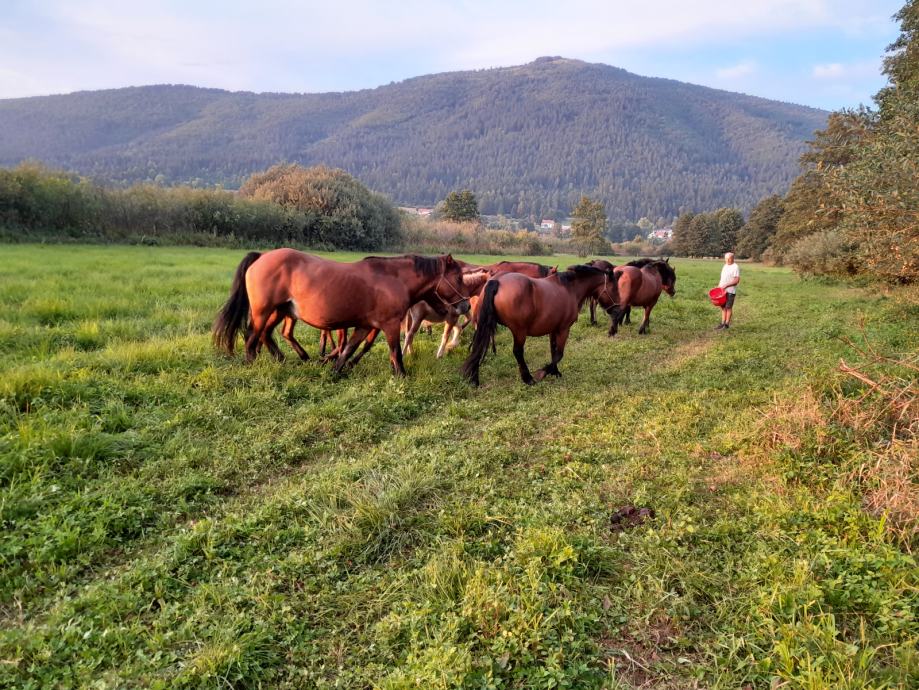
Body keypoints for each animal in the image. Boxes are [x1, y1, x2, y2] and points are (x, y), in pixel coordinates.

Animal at [214, 249, 468, 374]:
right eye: (458, 277)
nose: (465, 305)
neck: (393, 278)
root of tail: (262, 256)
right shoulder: (390, 325)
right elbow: (395, 352)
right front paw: (401, 376)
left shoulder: (366, 325)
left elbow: (348, 349)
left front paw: (335, 371)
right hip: (263, 311)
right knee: (252, 338)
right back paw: (253, 364)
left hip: (279, 311)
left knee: (266, 336)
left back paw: (286, 359)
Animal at [460, 264, 620, 384]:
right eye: (614, 288)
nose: (618, 310)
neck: (570, 288)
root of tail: (497, 281)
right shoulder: (564, 329)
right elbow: (559, 353)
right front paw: (543, 373)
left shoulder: (553, 329)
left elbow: (553, 350)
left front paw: (555, 372)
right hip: (519, 331)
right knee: (517, 352)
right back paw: (528, 378)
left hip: (484, 326)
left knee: (478, 348)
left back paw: (474, 379)